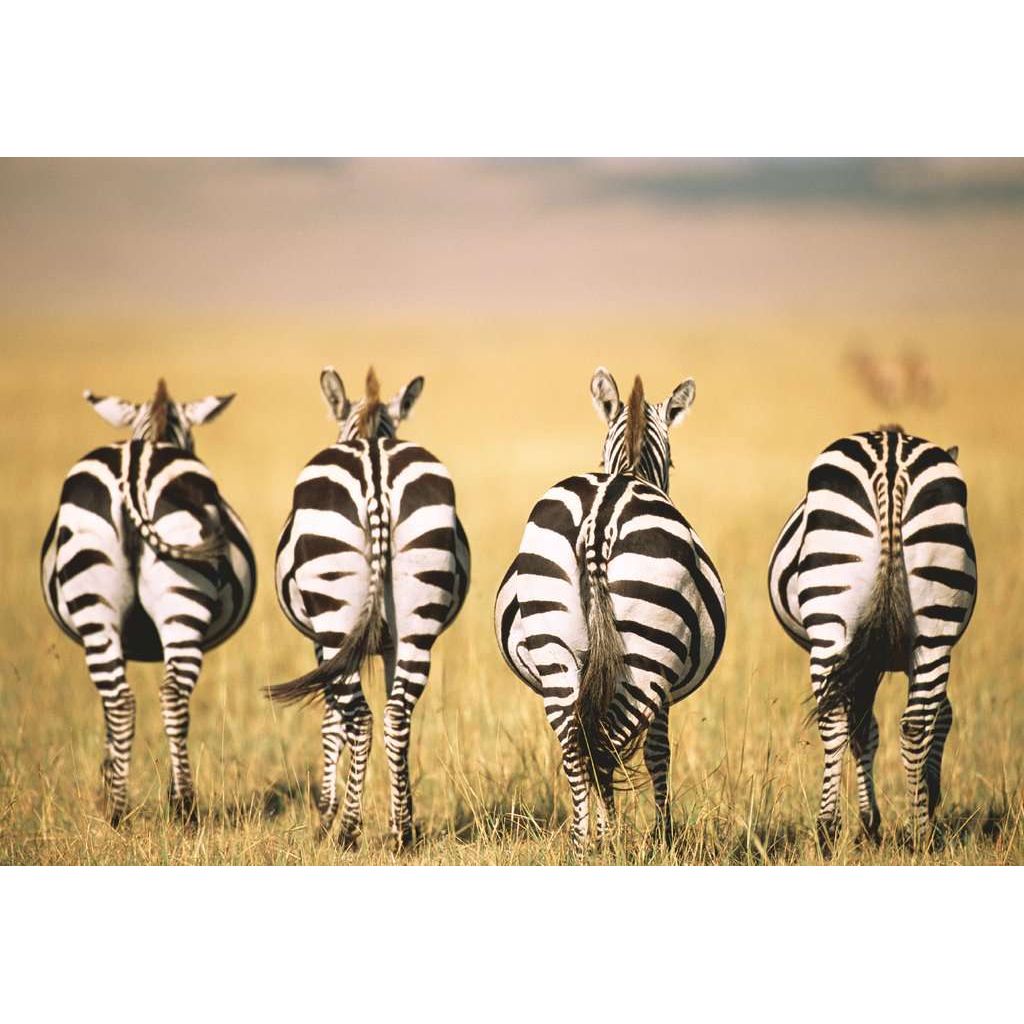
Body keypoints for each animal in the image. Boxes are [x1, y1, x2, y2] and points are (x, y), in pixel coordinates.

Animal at [40, 380, 256, 825]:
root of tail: (135, 465)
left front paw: (110, 781)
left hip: (125, 603)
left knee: (146, 699)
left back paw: (153, 808)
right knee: (149, 698)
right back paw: (144, 806)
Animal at [267, 367, 470, 849]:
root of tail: (375, 468)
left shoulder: (321, 646)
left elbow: (330, 722)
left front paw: (325, 814)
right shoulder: (391, 644)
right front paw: (399, 815)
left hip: (335, 616)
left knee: (359, 718)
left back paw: (346, 830)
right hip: (417, 618)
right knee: (397, 716)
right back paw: (403, 833)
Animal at [494, 367, 726, 852]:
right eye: (673, 465)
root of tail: (601, 514)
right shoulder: (664, 695)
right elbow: (659, 753)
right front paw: (664, 836)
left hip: (554, 648)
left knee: (575, 743)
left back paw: (582, 843)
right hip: (647, 659)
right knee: (603, 744)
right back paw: (608, 839)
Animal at [767, 427, 977, 848]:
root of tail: (891, 459)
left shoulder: (867, 660)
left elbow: (865, 728)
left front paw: (873, 820)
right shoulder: (878, 659)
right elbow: (924, 717)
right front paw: (893, 811)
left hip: (835, 622)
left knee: (842, 717)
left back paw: (830, 828)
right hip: (929, 626)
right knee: (912, 721)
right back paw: (915, 833)